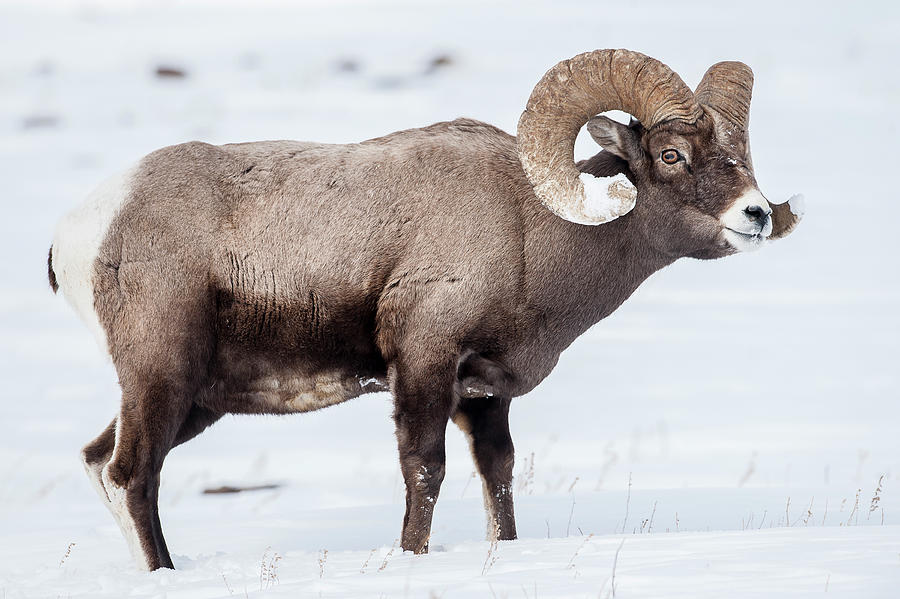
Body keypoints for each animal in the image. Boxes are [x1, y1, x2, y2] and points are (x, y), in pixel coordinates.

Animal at [49, 49, 800, 568]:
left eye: (737, 154)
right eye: (671, 155)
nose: (756, 215)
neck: (532, 229)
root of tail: (80, 232)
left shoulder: (485, 393)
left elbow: (498, 473)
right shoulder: (424, 363)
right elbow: (425, 470)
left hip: (195, 398)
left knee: (100, 462)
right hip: (163, 378)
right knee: (132, 473)